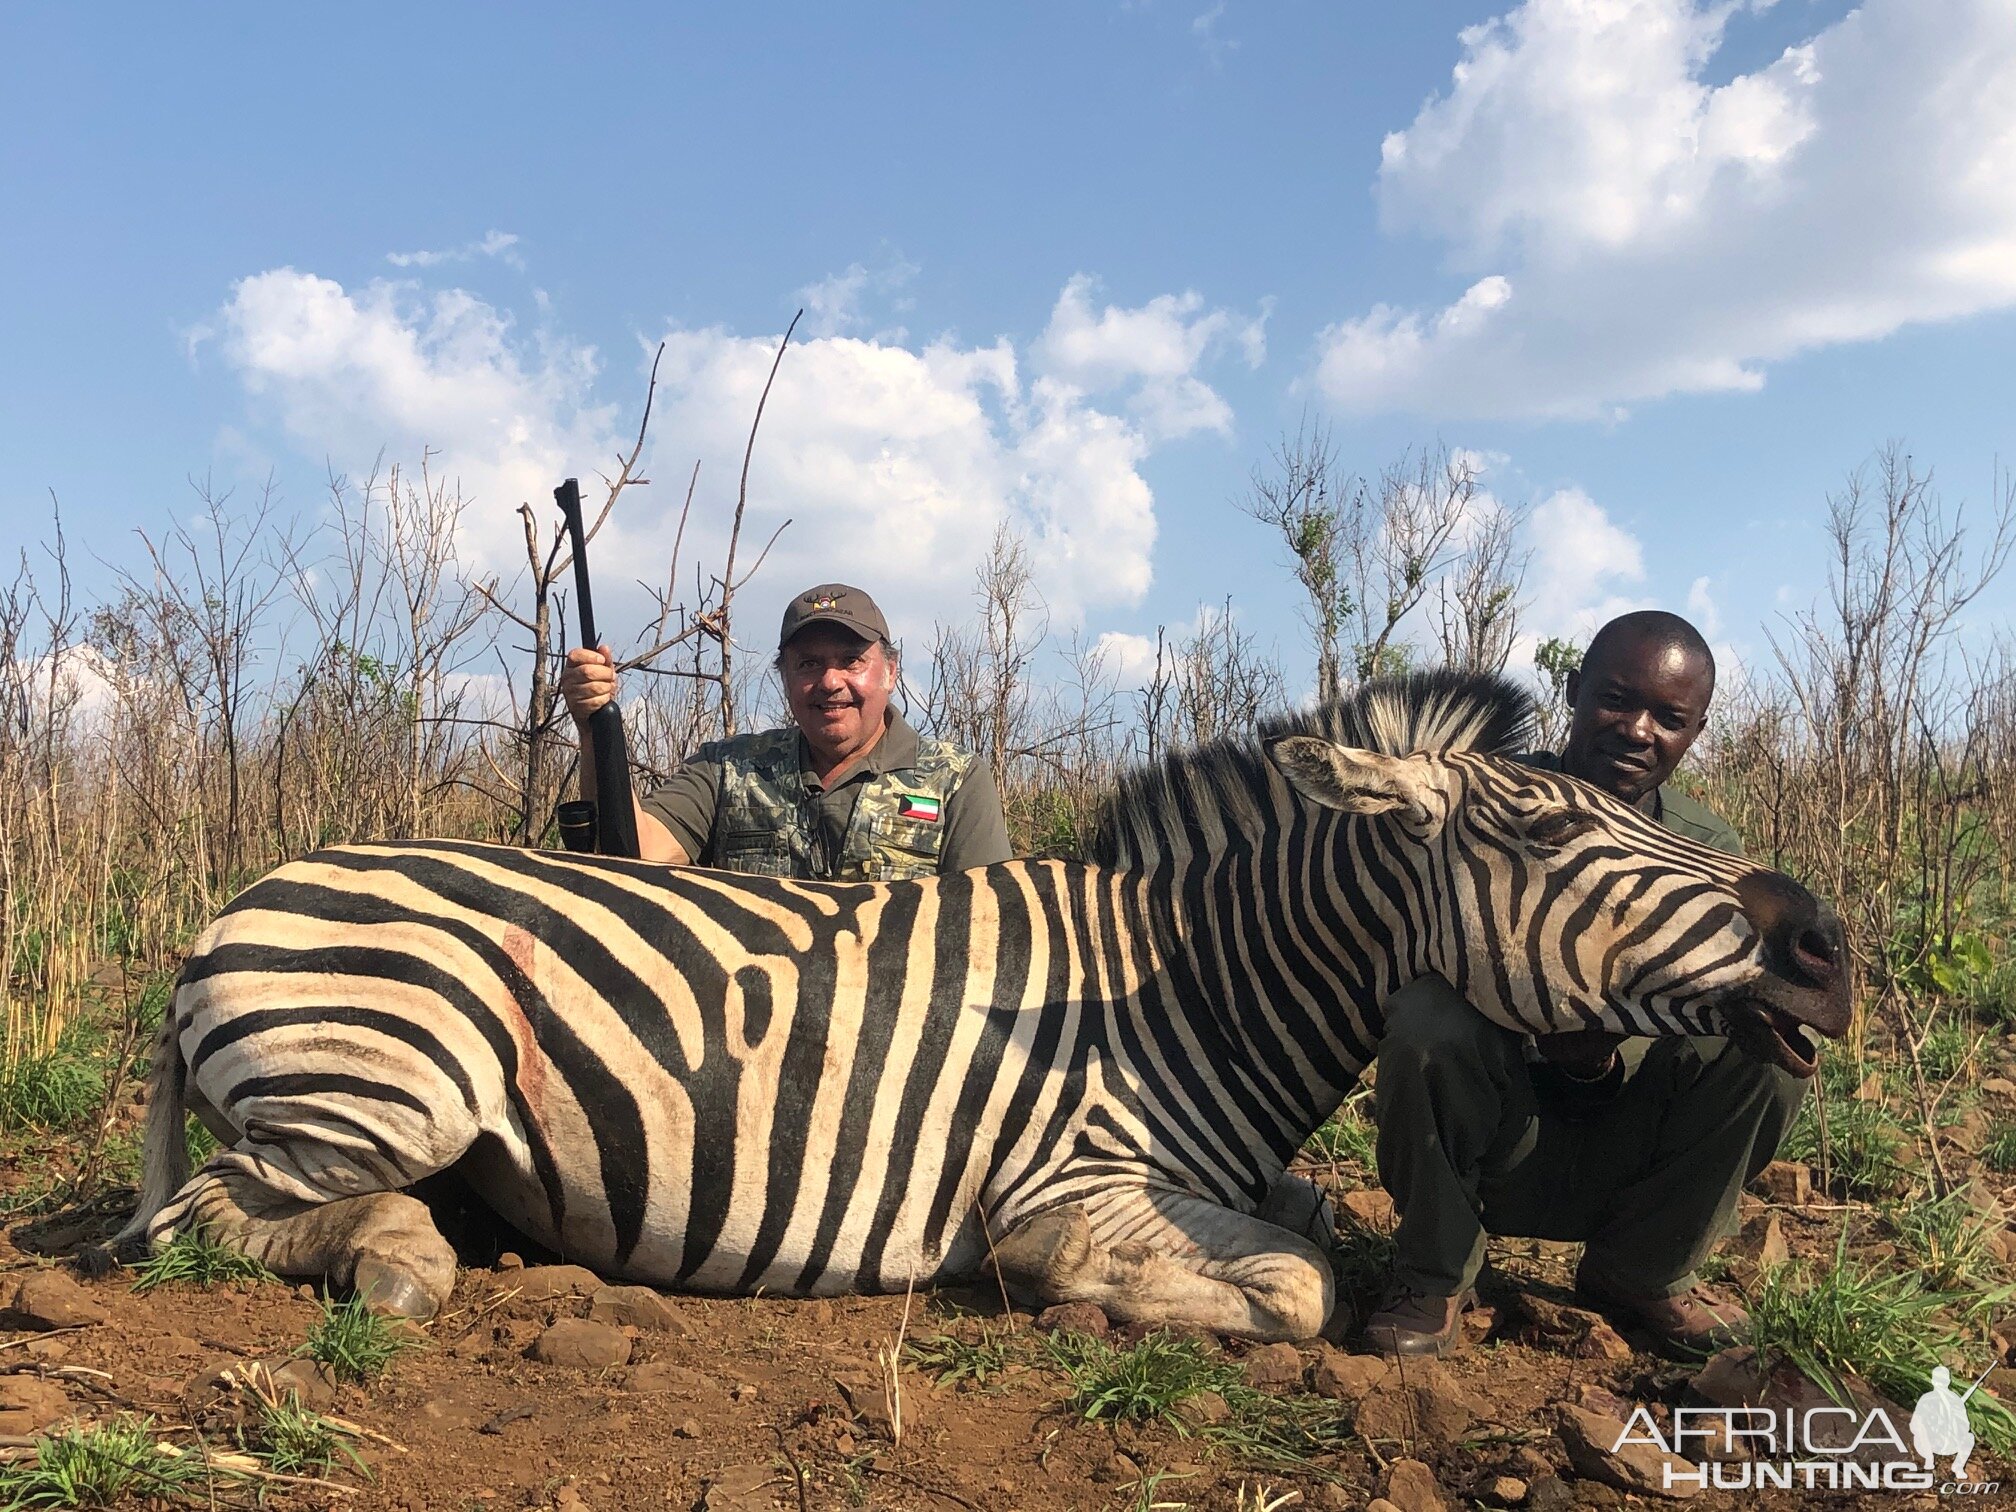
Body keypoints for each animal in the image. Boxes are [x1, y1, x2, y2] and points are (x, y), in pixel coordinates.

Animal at [114, 673, 1846, 1338]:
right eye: (1546, 830)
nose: (1819, 938)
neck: (1199, 994)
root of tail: (227, 915)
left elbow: (1302, 1221)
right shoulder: (1062, 1187)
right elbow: (1294, 1288)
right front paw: (1083, 1305)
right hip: (394, 1074)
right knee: (208, 1219)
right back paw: (408, 1261)